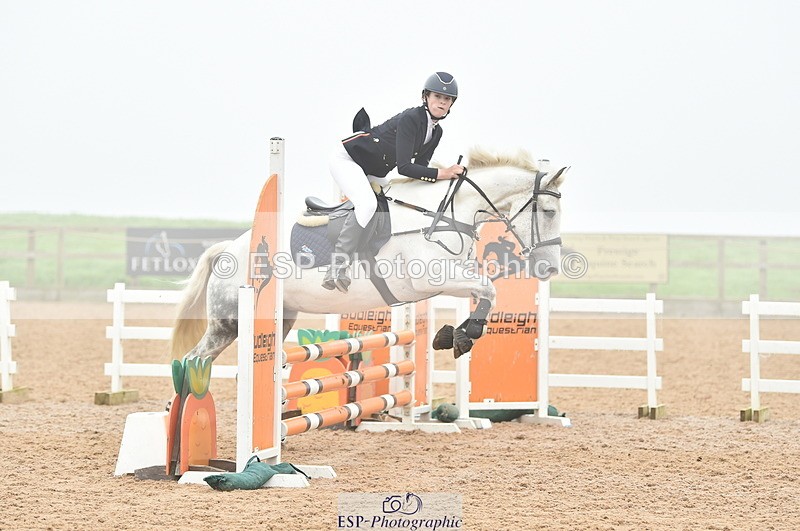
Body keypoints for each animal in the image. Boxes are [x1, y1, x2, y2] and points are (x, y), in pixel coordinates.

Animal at [170, 146, 568, 361]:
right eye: (549, 212)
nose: (549, 268)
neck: (439, 215)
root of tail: (229, 249)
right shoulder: (430, 280)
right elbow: (489, 288)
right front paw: (461, 336)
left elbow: (485, 291)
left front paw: (454, 336)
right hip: (228, 323)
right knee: (193, 361)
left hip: (281, 317)